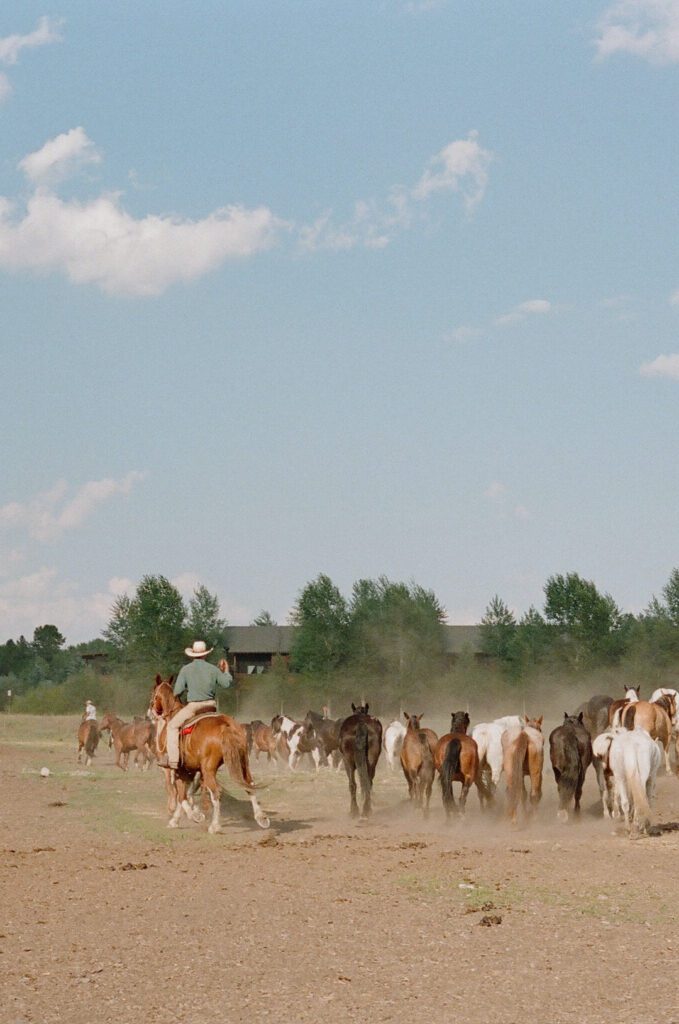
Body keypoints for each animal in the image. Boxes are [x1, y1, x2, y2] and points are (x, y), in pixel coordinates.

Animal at [152, 675, 270, 835]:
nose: (151, 711)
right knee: (249, 785)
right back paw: (260, 817)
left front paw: (194, 816)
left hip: (209, 769)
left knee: (216, 793)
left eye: (154, 694)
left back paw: (214, 826)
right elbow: (186, 794)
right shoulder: (192, 770)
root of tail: (226, 726)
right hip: (243, 763)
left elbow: (182, 796)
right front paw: (180, 818)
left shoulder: (178, 769)